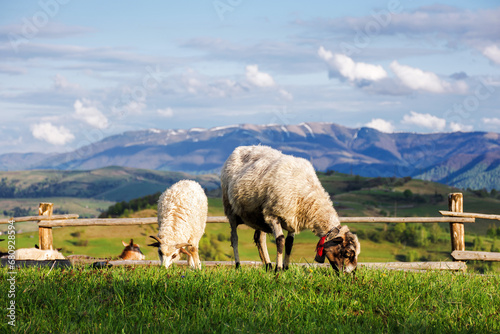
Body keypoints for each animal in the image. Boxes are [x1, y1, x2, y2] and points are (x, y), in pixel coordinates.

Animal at [222, 145, 360, 272]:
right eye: (347, 253)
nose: (351, 273)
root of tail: (241, 148)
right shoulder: (273, 215)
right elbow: (280, 241)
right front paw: (278, 270)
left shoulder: (292, 219)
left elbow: (289, 244)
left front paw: (285, 268)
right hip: (230, 210)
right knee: (234, 238)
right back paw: (238, 265)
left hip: (258, 216)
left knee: (260, 238)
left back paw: (268, 266)